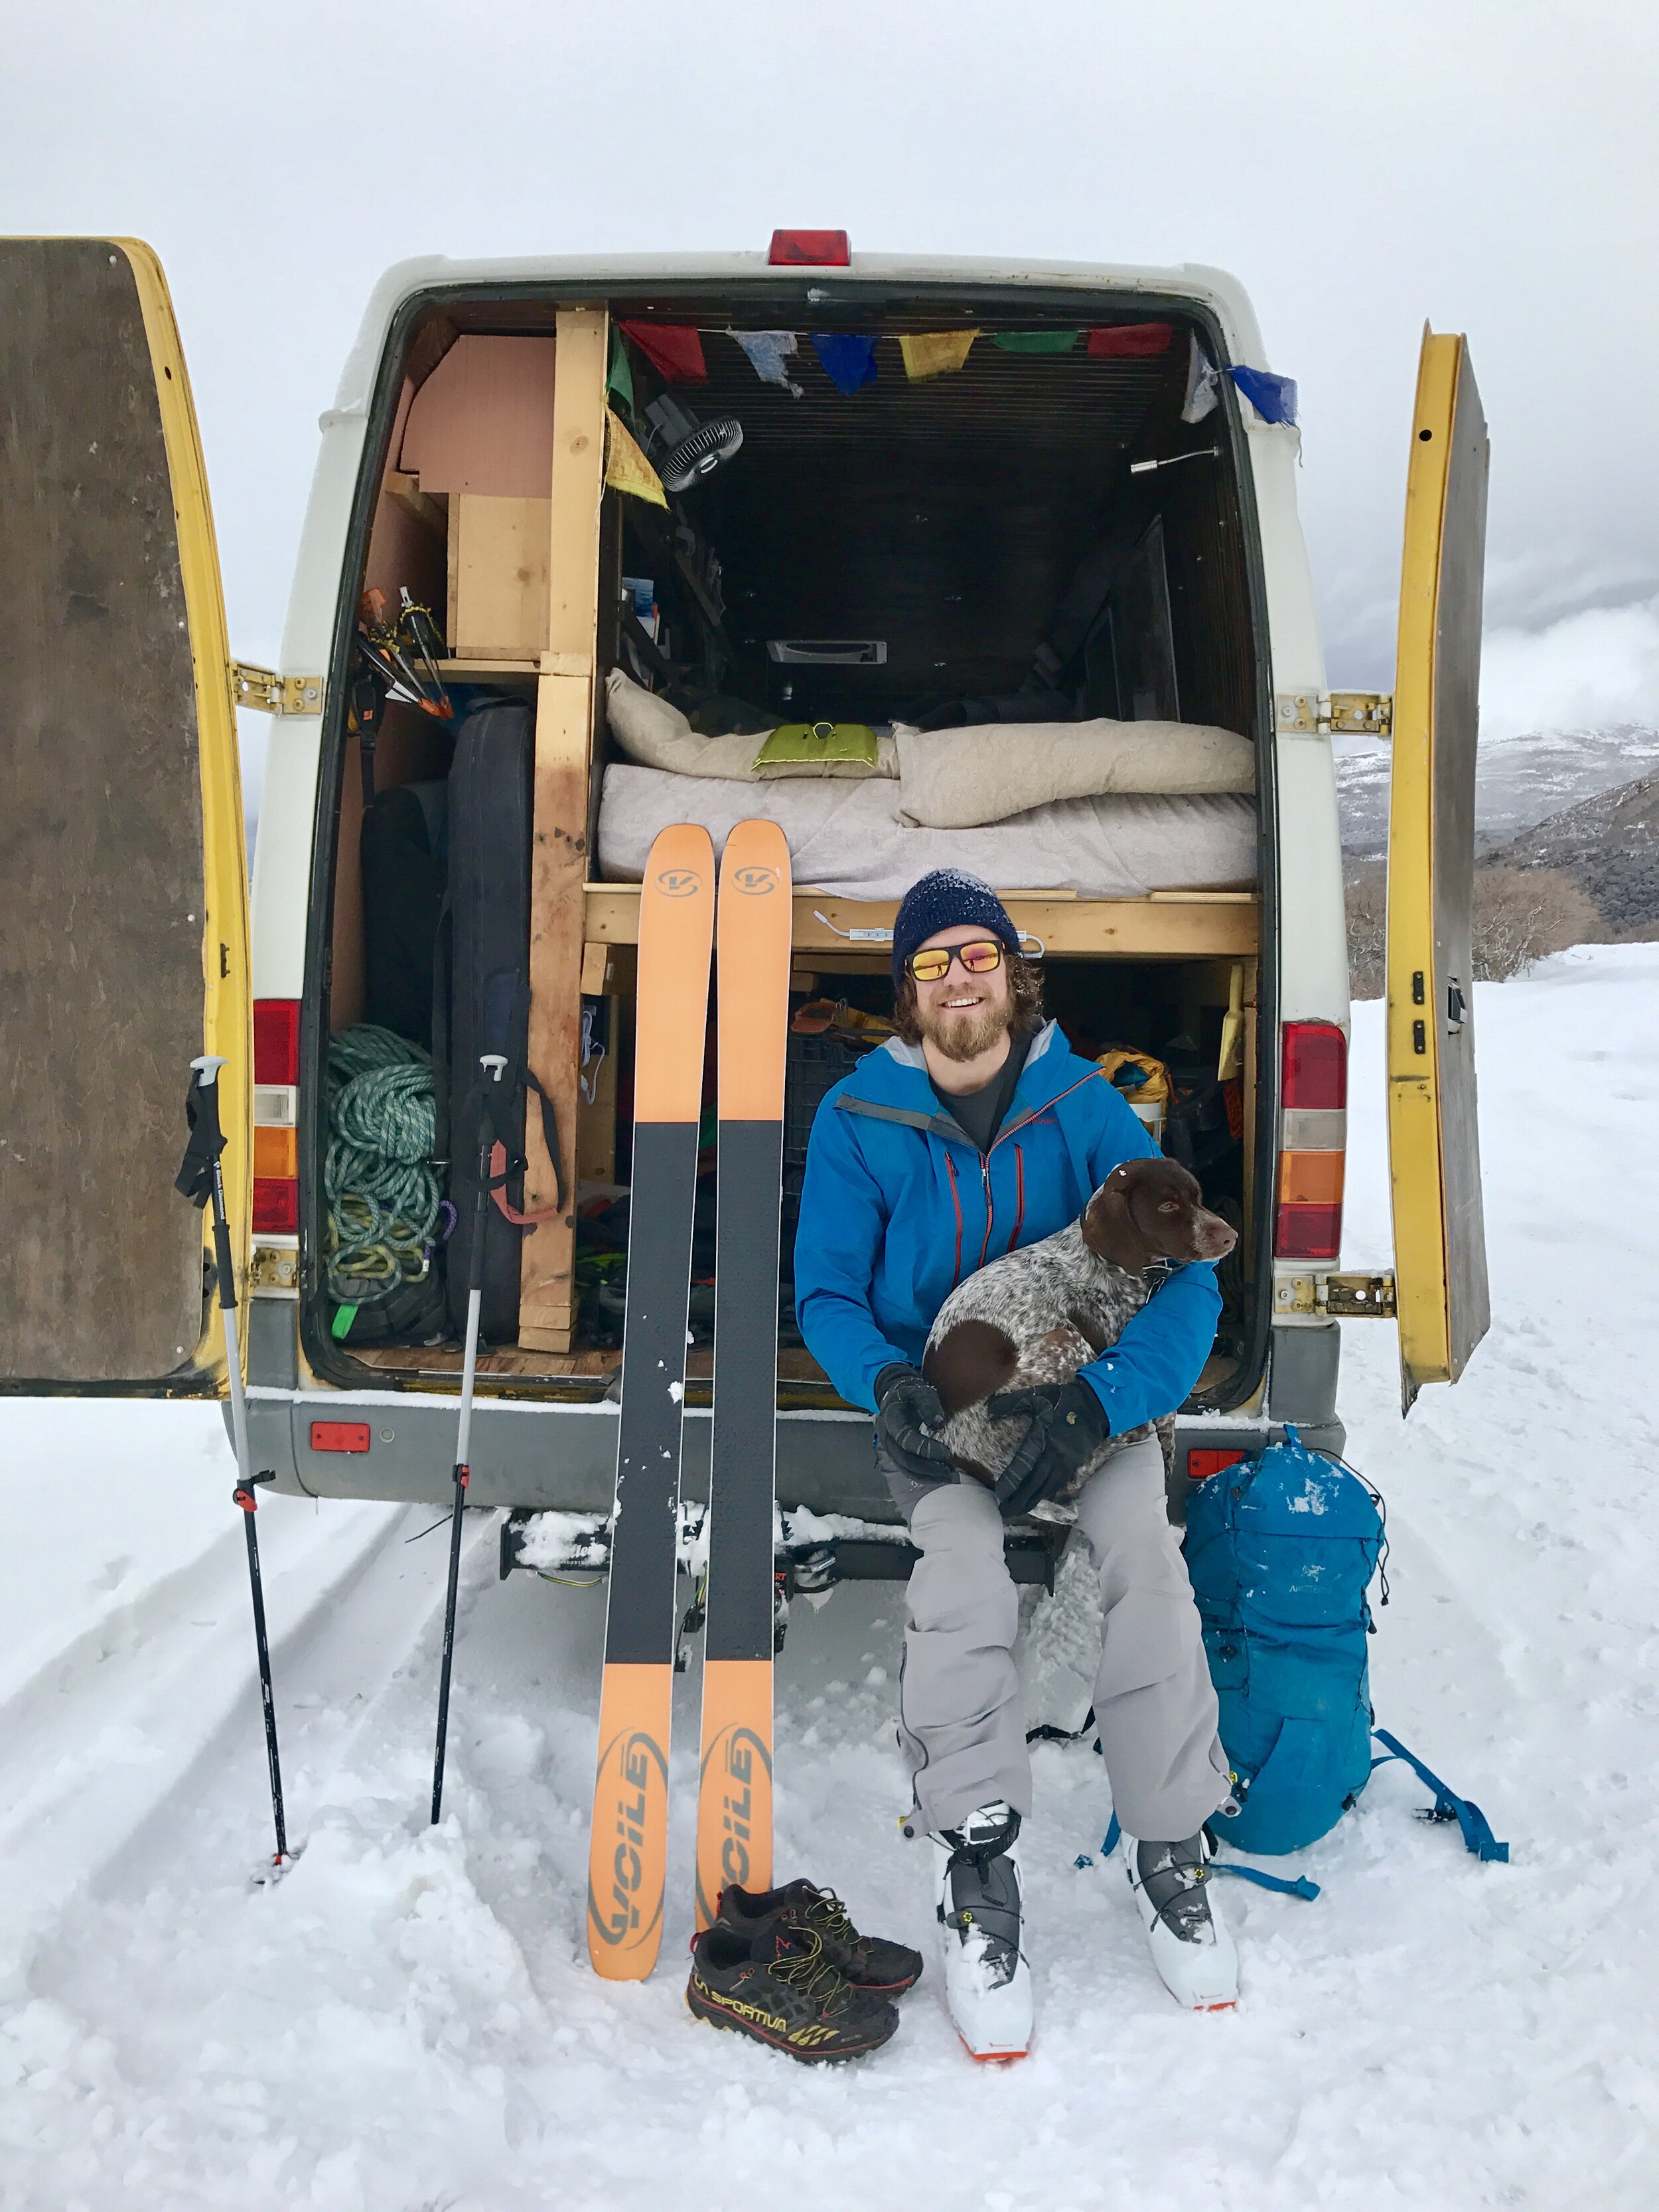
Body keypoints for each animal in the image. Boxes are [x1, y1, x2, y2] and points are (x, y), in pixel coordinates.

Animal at [929, 1159, 1238, 1504]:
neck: (1105, 1263)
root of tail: (967, 1457)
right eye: (1167, 1206)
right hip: (1064, 1339)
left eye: (1197, 1198)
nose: (1231, 1236)